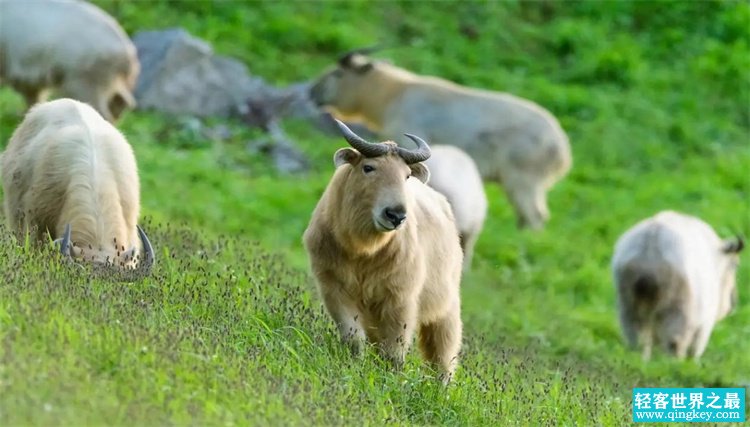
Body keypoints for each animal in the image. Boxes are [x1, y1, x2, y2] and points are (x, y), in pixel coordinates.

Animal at [302, 119, 462, 382]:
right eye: (369, 167)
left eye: (406, 175)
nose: (395, 215)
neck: (363, 251)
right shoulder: (334, 288)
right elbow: (353, 337)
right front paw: (353, 366)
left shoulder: (400, 298)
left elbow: (394, 350)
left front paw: (391, 380)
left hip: (445, 309)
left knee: (443, 353)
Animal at [308, 50, 572, 229]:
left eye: (337, 72)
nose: (312, 91)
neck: (396, 93)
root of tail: (563, 150)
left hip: (523, 180)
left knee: (535, 216)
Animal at [612, 211, 744, 362]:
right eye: (735, 265)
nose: (733, 302)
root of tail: (652, 240)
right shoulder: (703, 325)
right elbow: (694, 351)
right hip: (678, 311)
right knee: (675, 343)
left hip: (628, 307)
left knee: (638, 341)